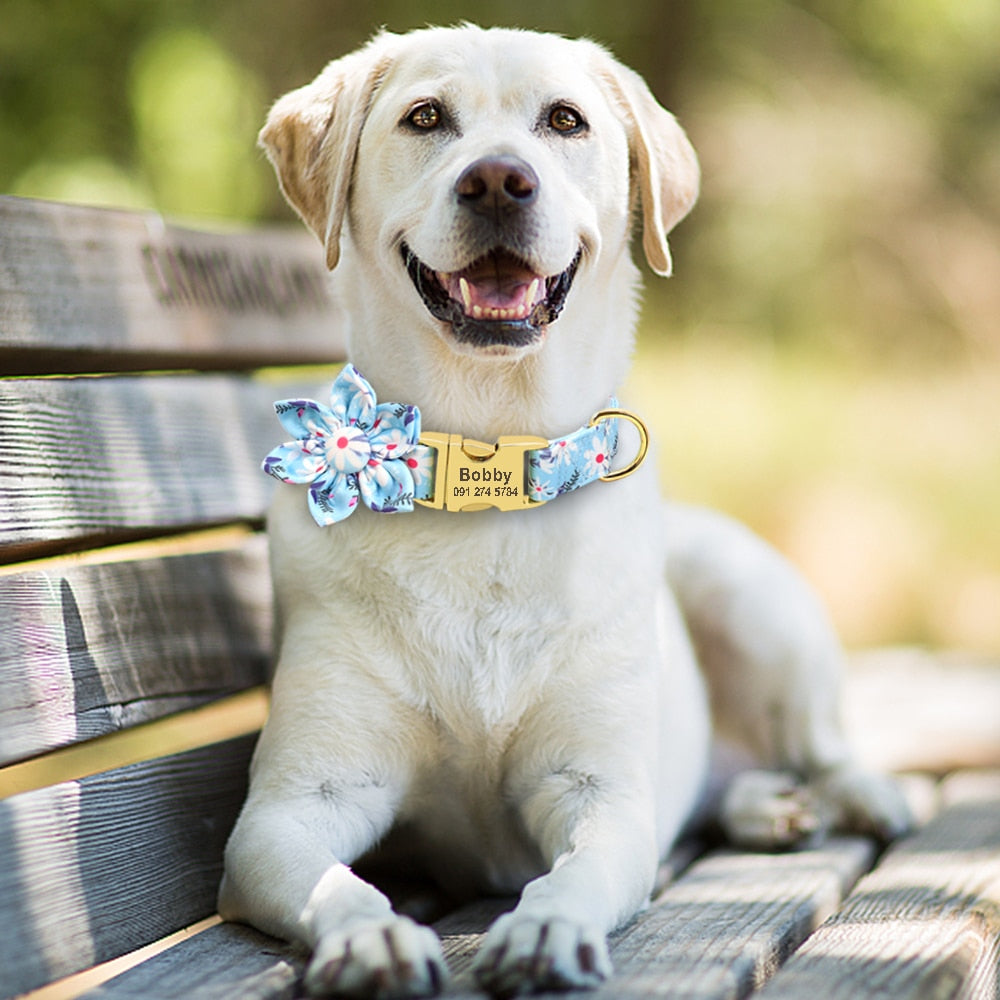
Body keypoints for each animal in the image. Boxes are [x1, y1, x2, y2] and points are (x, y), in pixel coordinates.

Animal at [221, 25, 916, 1000]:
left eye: (565, 120)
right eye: (424, 117)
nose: (497, 180)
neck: (489, 467)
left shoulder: (600, 794)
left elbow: (577, 871)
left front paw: (546, 928)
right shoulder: (289, 810)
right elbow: (339, 883)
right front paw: (373, 938)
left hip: (748, 593)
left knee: (818, 742)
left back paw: (857, 795)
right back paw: (763, 805)